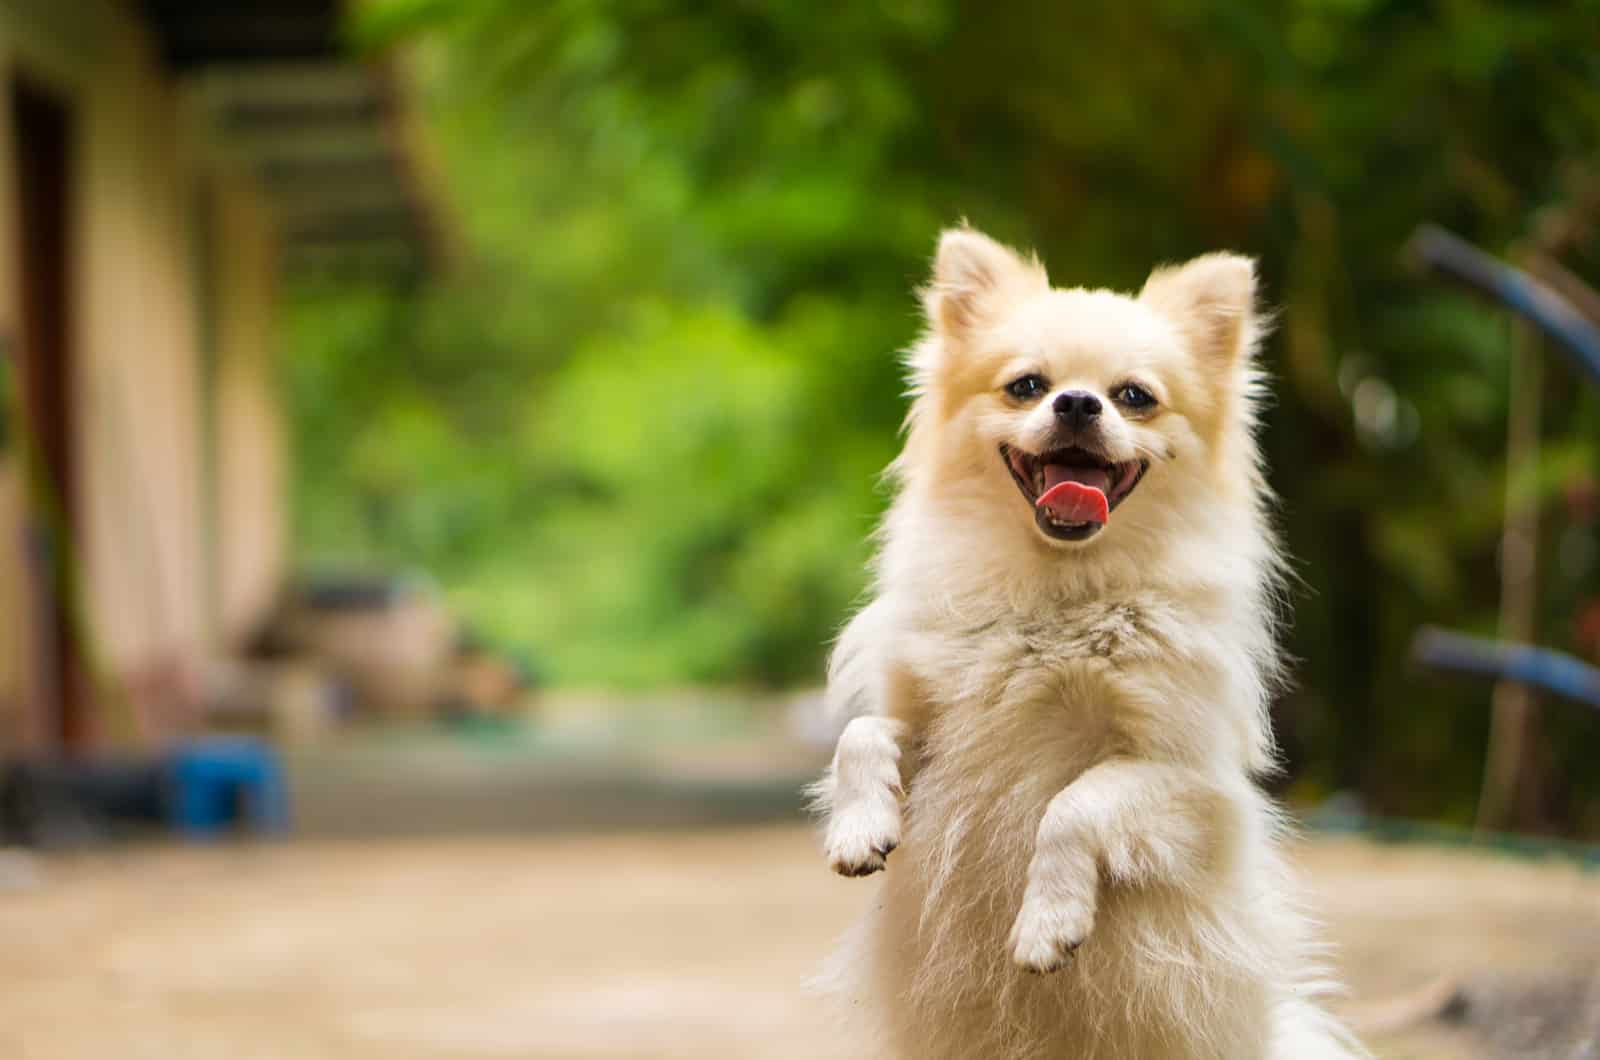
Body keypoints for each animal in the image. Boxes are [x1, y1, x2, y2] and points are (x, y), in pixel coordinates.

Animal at [812, 230, 1363, 1060]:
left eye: (1135, 396)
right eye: (1026, 386)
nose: (1076, 402)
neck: (1059, 594)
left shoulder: (1184, 782)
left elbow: (1074, 804)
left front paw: (1049, 926)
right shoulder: (936, 730)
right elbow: (864, 733)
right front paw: (859, 828)